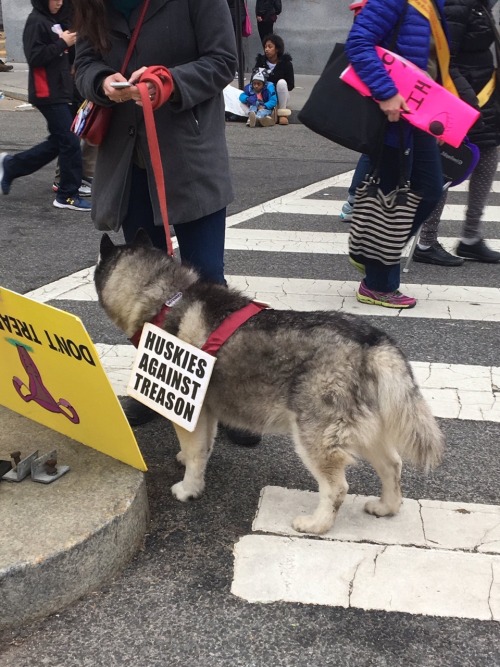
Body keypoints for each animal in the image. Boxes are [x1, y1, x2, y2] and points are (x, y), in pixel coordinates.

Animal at [95, 232, 444, 536]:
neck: (166, 296)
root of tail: (372, 341)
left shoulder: (187, 407)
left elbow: (195, 454)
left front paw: (189, 488)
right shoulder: (204, 409)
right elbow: (202, 447)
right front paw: (190, 462)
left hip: (315, 435)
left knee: (337, 488)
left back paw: (317, 524)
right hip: (365, 431)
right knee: (393, 465)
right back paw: (387, 507)